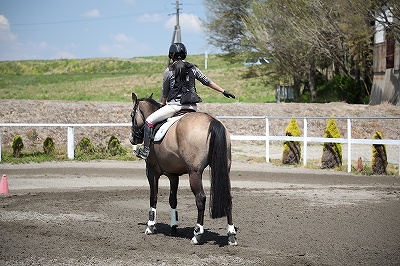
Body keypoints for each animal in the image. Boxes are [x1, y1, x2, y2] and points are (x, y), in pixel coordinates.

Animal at [130, 93, 238, 245]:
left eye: (131, 115)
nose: (132, 139)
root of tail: (211, 121)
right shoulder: (173, 175)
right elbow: (172, 199)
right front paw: (174, 226)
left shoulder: (152, 172)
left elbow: (153, 197)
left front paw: (150, 226)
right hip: (224, 171)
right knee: (227, 197)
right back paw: (231, 234)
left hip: (194, 173)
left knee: (200, 198)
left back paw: (197, 234)